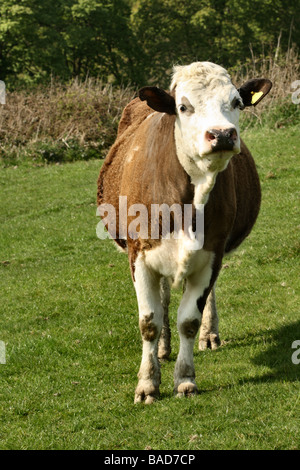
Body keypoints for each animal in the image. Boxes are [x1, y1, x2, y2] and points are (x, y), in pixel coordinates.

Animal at [98, 60, 272, 402]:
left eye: (237, 102)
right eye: (183, 106)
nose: (222, 134)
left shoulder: (212, 254)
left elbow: (189, 320)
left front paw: (185, 379)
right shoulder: (139, 256)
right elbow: (149, 322)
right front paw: (147, 383)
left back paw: (209, 334)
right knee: (164, 298)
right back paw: (162, 348)